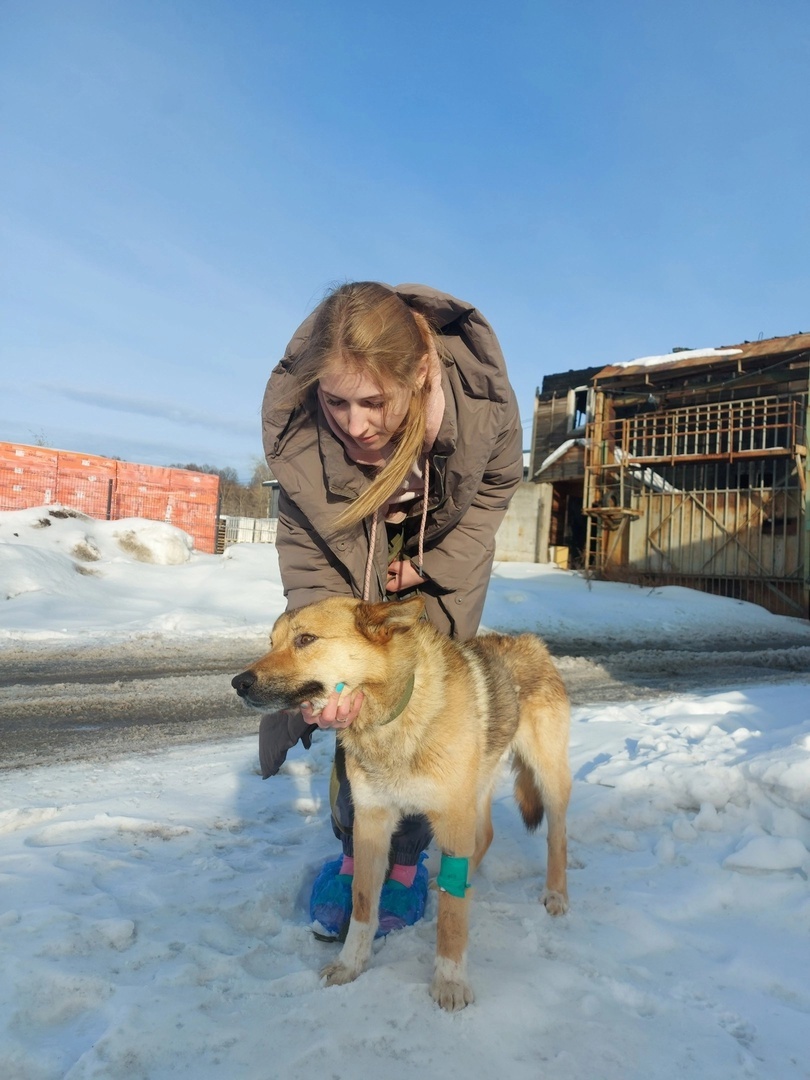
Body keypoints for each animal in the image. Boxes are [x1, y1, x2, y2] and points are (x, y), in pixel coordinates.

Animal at [230, 596, 570, 1006]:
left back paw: (555, 894)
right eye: (271, 643)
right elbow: (362, 902)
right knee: (485, 836)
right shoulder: (371, 821)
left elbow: (452, 919)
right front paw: (350, 965)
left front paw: (450, 982)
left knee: (557, 837)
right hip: (477, 787)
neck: (392, 714)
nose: (238, 683)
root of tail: (532, 643)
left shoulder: (451, 815)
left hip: (546, 777)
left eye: (306, 639)